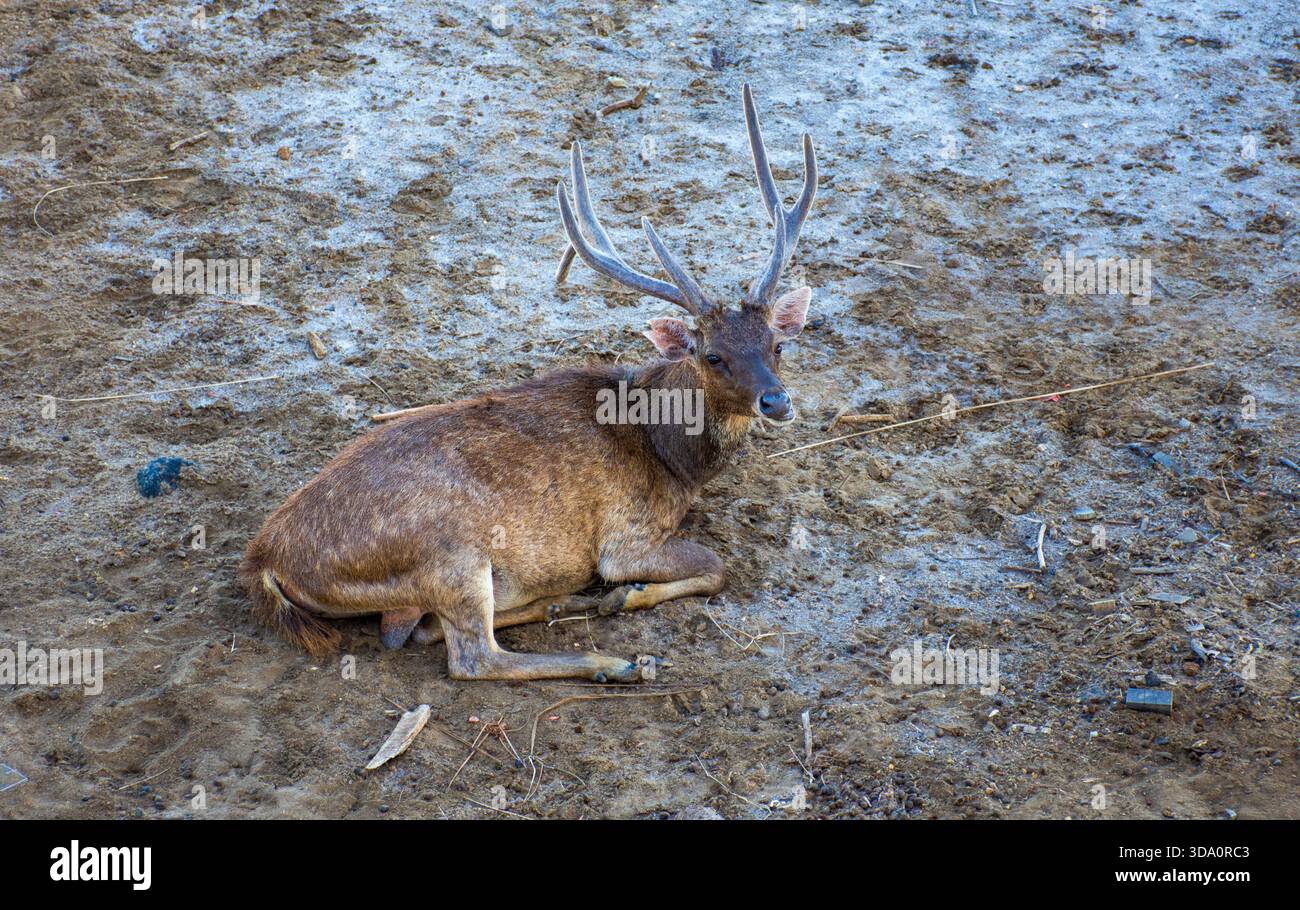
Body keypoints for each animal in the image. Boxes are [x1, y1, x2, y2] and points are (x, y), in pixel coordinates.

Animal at [241, 84, 817, 682]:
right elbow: (714, 566)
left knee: (421, 629)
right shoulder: (625, 537)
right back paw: (612, 661)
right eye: (713, 355)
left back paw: (559, 603)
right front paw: (626, 595)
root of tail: (265, 561)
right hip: (451, 552)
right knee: (471, 656)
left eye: (777, 344)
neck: (671, 458)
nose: (776, 400)